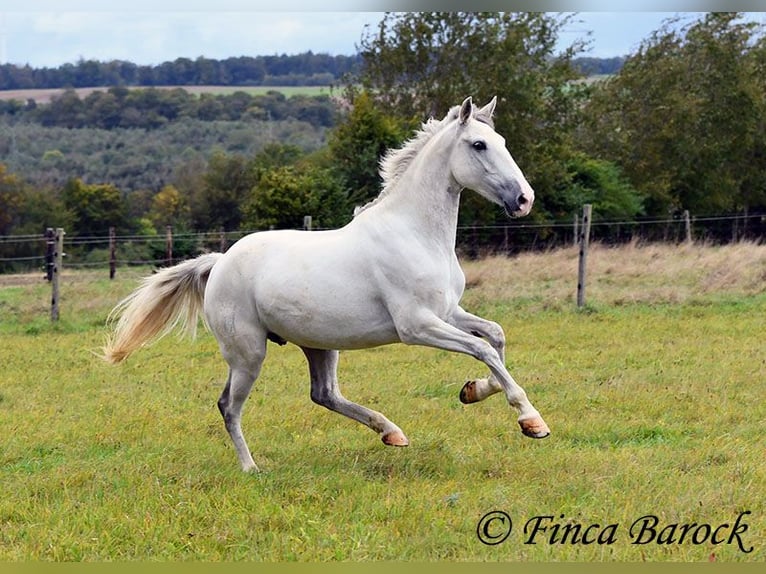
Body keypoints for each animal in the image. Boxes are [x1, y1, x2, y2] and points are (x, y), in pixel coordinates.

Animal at [105, 98, 548, 472]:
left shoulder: (448, 312)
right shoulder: (417, 325)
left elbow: (495, 337)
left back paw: (392, 433)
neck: (415, 234)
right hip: (248, 353)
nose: (524, 200)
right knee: (228, 405)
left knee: (324, 394)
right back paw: (251, 468)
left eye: (502, 142)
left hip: (319, 344)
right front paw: (531, 421)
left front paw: (473, 391)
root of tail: (219, 262)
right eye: (478, 145)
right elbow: (482, 349)